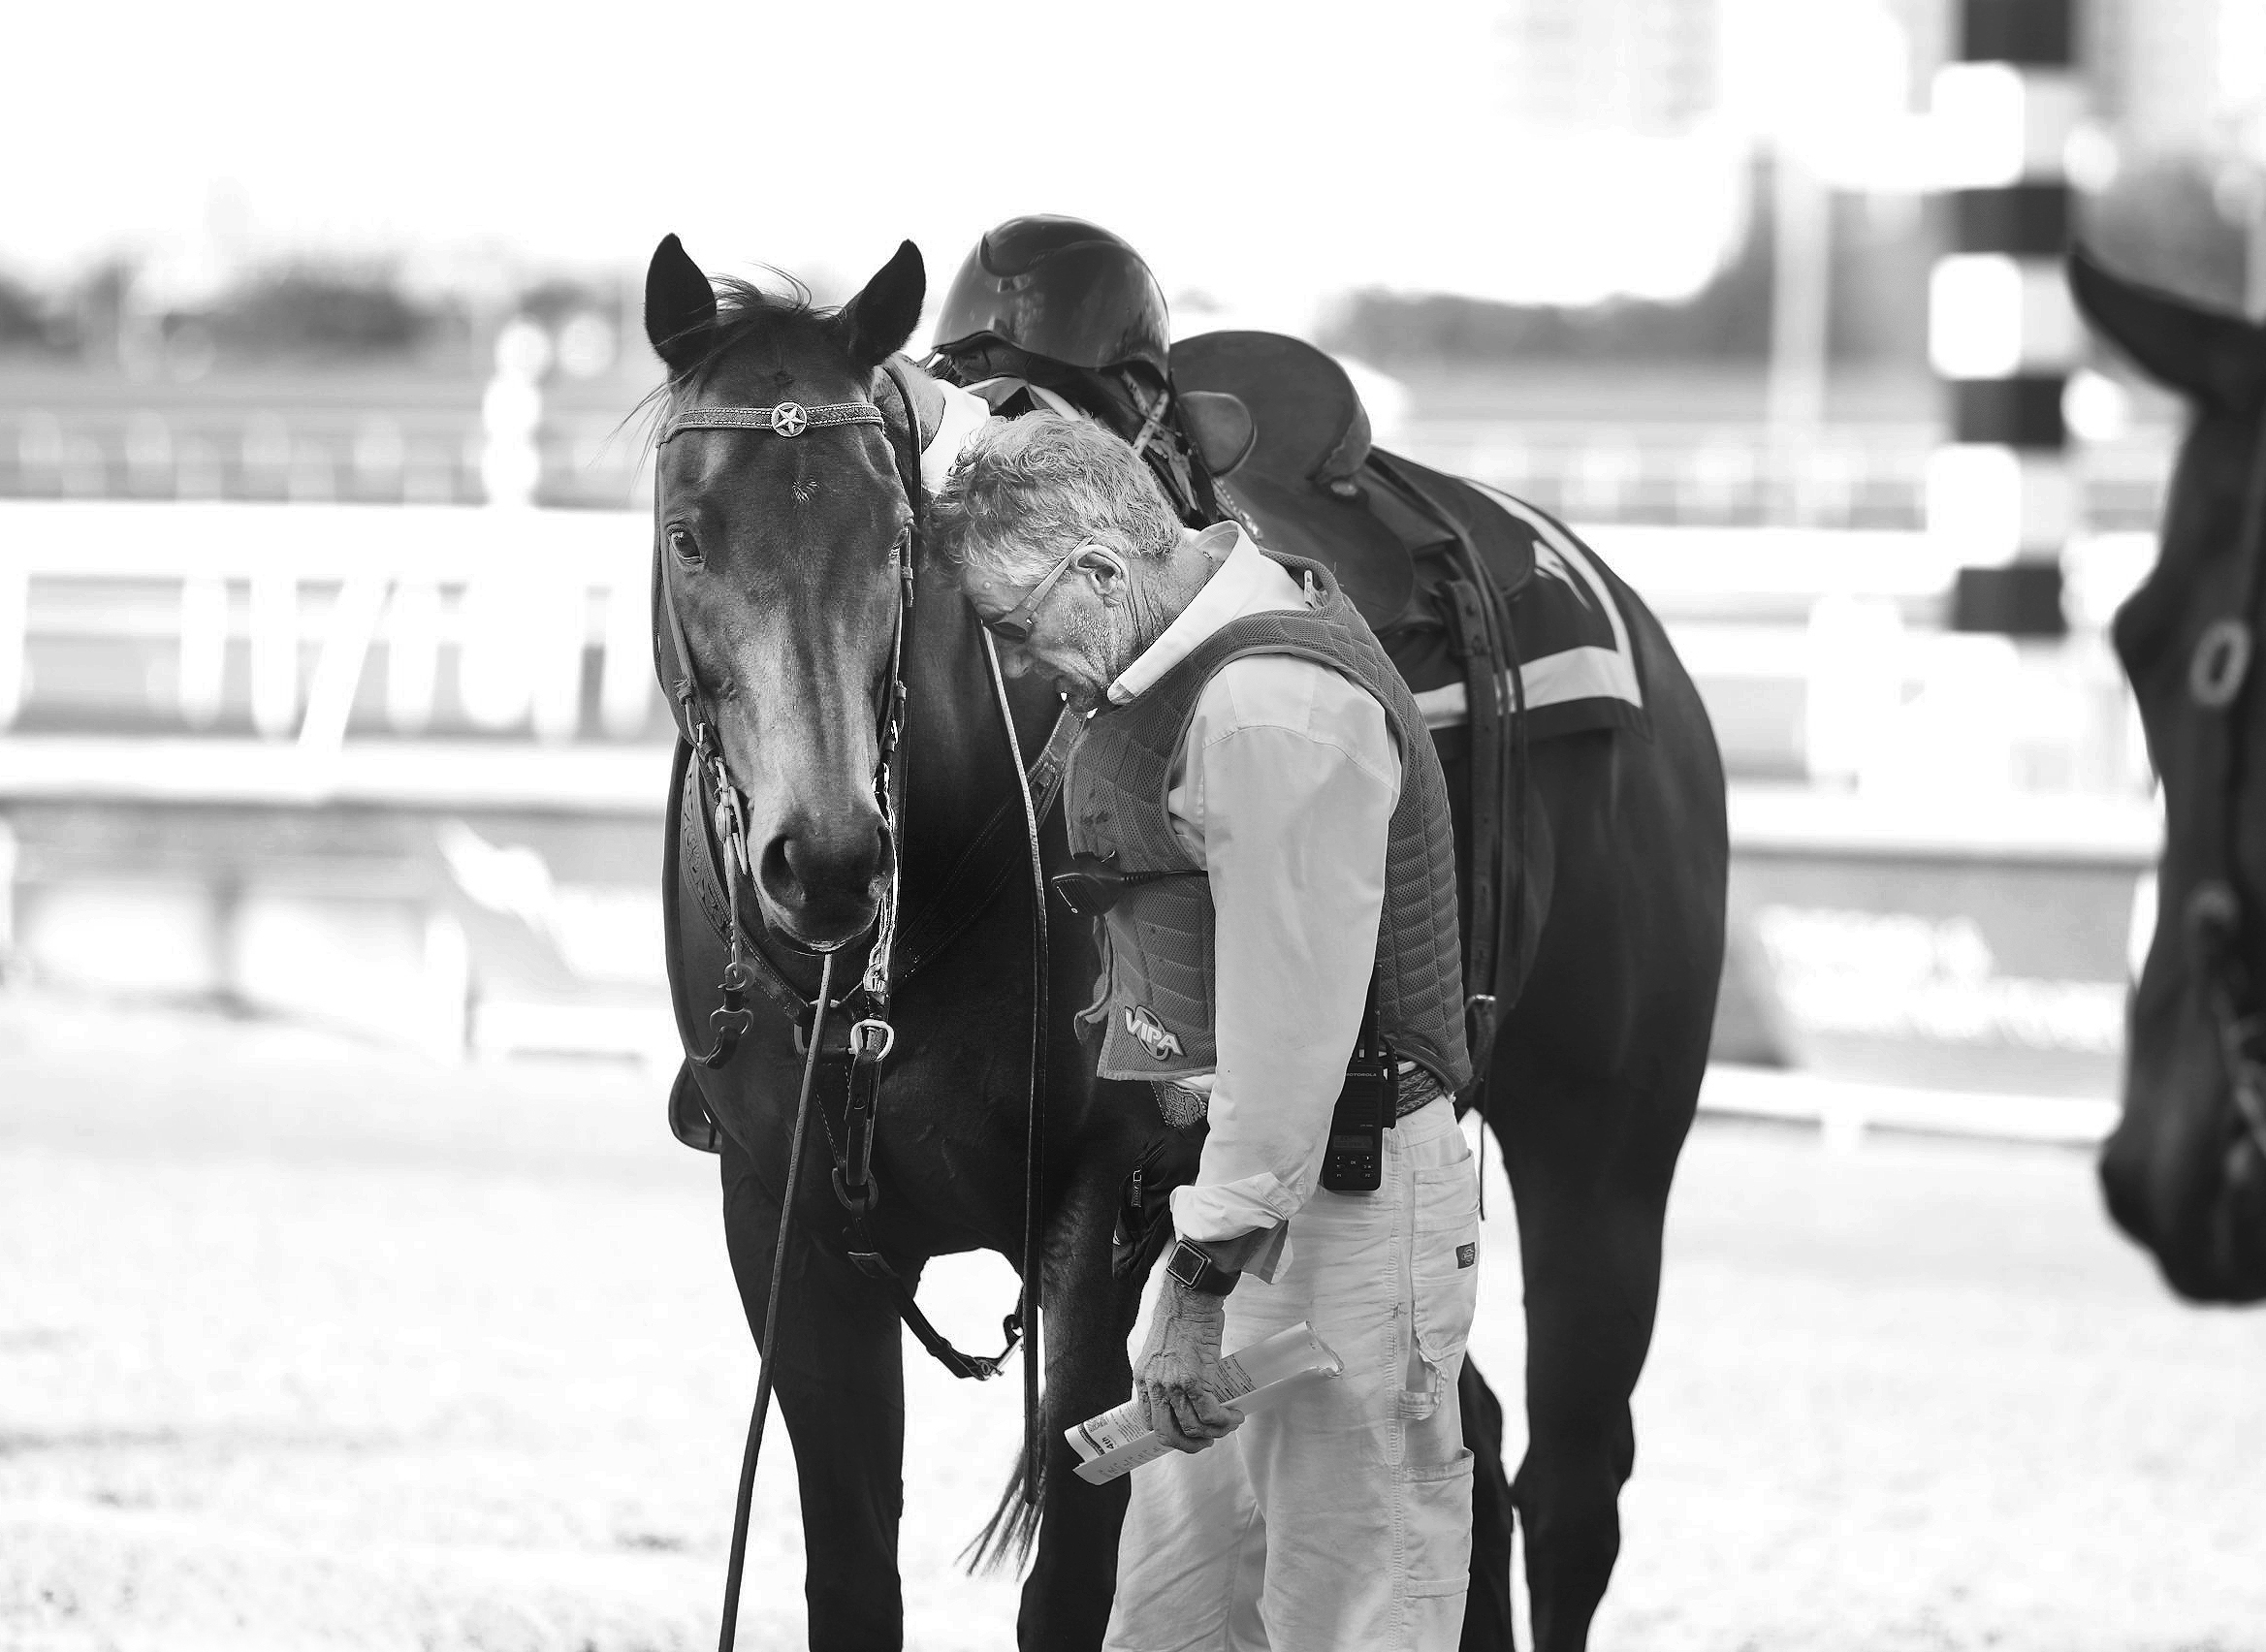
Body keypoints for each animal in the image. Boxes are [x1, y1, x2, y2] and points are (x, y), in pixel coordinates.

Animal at [648, 236, 1722, 1649]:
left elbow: (1068, 1584)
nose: (822, 856)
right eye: (686, 534)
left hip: (1604, 1163)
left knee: (1572, 1488)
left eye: (896, 539)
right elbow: (853, 1582)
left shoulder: (1106, 1220)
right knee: (1472, 1440)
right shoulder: (785, 1228)